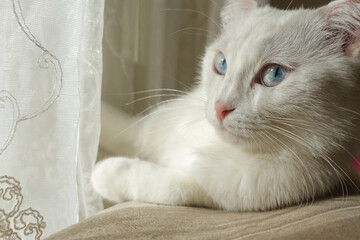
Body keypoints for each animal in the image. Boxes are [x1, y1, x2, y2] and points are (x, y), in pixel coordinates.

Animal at [92, 0, 360, 210]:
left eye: (274, 74)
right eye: (221, 64)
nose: (220, 108)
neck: (214, 142)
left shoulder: (225, 190)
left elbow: (169, 187)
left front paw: (105, 173)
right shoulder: (147, 128)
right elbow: (121, 126)